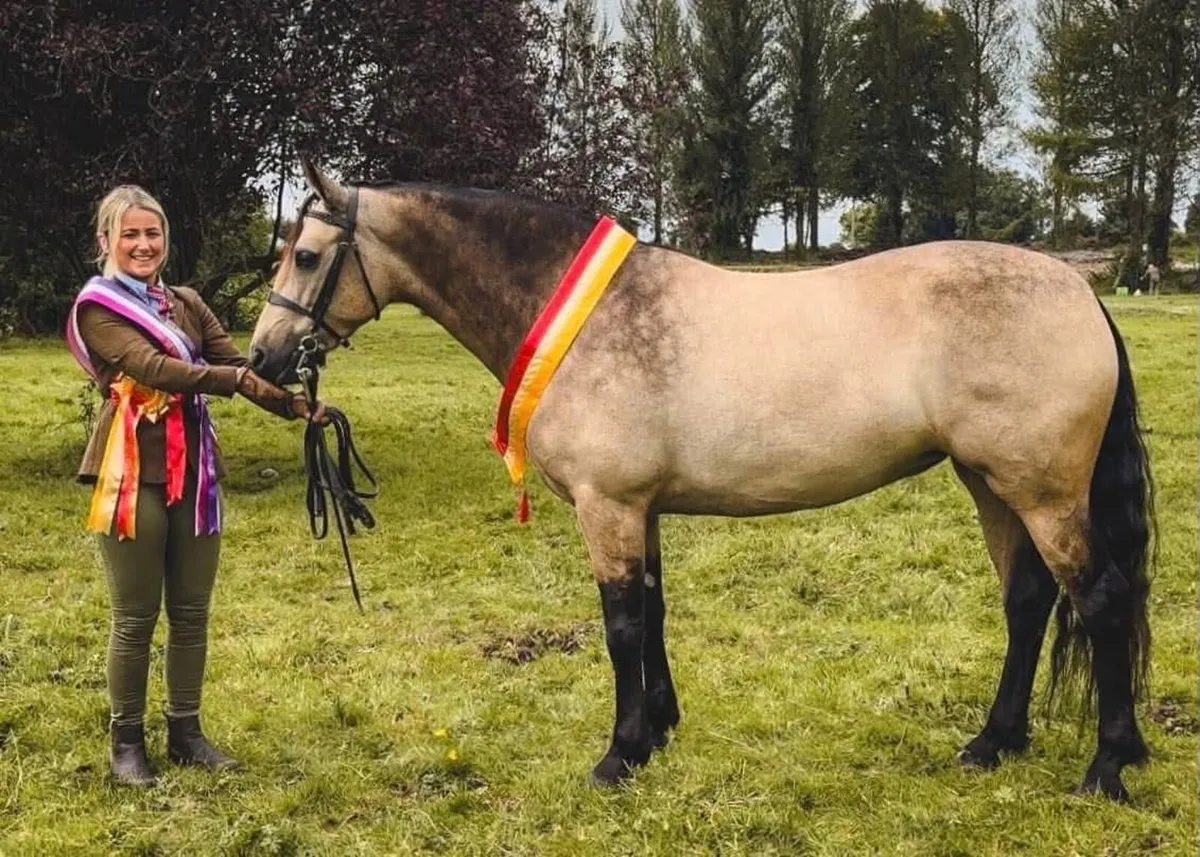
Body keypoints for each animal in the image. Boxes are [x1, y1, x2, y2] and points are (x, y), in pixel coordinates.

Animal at [248, 160, 1154, 801]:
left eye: (307, 255)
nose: (262, 359)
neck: (586, 317)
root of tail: (1079, 293)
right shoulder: (638, 508)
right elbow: (652, 612)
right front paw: (656, 732)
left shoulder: (608, 505)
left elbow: (619, 625)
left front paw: (616, 756)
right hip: (991, 483)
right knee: (1029, 602)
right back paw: (993, 742)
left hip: (1041, 494)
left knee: (1102, 600)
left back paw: (1106, 768)